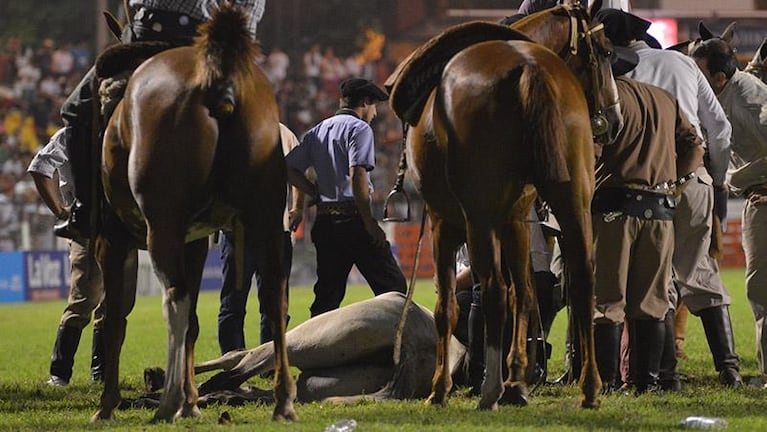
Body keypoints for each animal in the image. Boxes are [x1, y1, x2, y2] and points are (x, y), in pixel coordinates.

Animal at [90, 3, 294, 422]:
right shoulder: (196, 241)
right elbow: (196, 323)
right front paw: (193, 402)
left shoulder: (112, 239)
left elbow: (115, 318)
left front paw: (108, 405)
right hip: (265, 218)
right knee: (274, 295)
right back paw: (282, 399)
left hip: (161, 226)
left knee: (175, 298)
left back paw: (167, 402)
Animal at [396, 0, 624, 412]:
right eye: (604, 52)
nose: (614, 121)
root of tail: (528, 68)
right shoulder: (516, 220)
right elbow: (526, 293)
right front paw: (518, 380)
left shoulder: (444, 222)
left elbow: (447, 306)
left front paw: (441, 389)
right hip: (573, 202)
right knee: (582, 282)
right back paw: (589, 388)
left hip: (478, 220)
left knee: (493, 291)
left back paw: (488, 390)